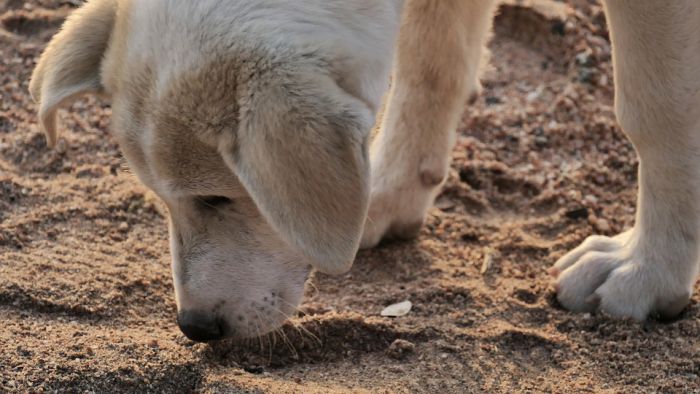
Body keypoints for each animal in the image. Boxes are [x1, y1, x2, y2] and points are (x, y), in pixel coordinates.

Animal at [28, 0, 700, 340]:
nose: (193, 328)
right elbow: (430, 60)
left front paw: (647, 268)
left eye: (217, 199)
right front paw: (388, 195)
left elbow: (657, 107)